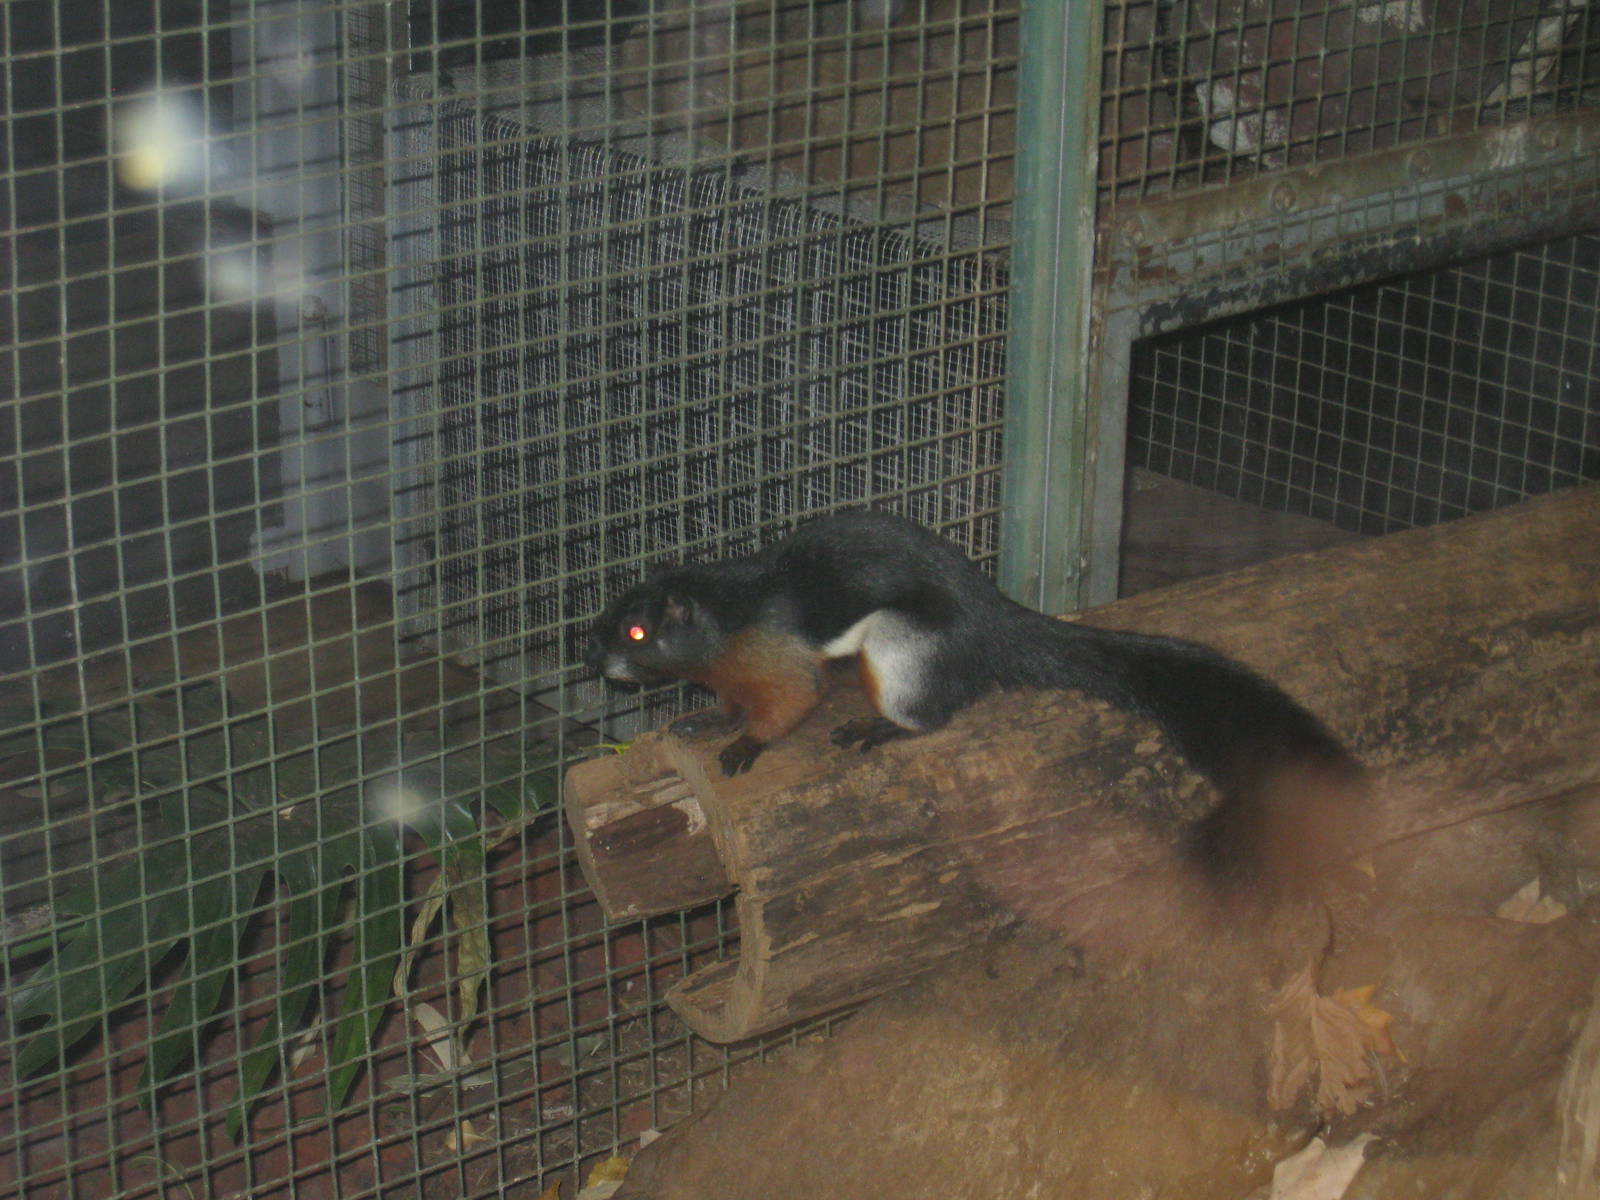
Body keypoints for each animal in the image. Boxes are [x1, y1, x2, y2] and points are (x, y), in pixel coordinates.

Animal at [585, 509, 1367, 879]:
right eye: (606, 616)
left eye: (636, 630)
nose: (598, 662)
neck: (729, 618)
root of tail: (996, 622)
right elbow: (723, 705)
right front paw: (698, 726)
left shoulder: (780, 661)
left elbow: (790, 703)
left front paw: (745, 744)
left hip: (900, 647)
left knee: (931, 714)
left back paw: (876, 730)